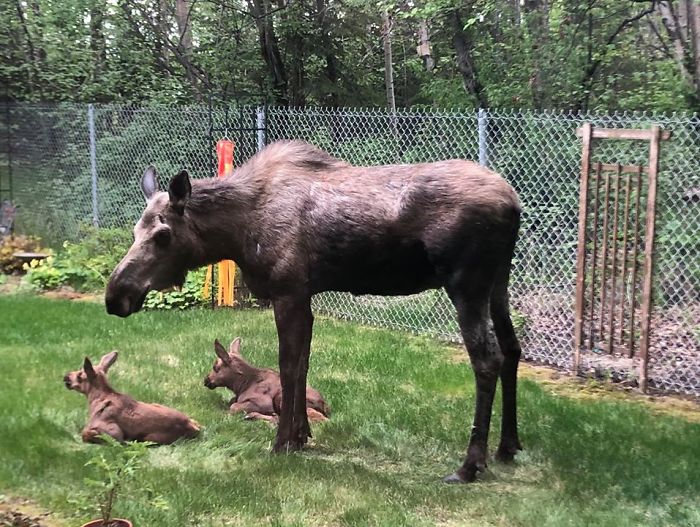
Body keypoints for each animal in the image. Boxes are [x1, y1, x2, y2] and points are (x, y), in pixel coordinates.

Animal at [106, 139, 524, 482]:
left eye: (163, 235)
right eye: (135, 230)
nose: (116, 296)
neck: (237, 232)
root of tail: (514, 204)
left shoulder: (287, 292)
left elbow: (289, 367)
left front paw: (282, 442)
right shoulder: (303, 296)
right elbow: (304, 363)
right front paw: (303, 435)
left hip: (466, 284)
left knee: (487, 358)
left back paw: (470, 465)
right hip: (499, 282)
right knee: (512, 349)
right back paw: (508, 447)